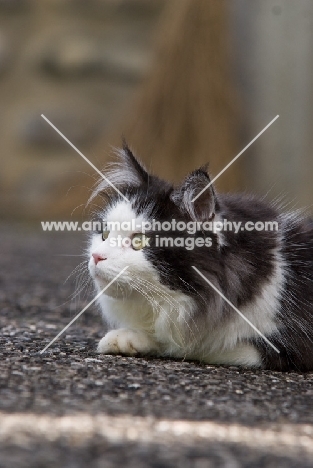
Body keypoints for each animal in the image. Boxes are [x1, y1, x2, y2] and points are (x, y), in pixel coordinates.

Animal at [86, 144, 312, 372]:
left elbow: (199, 347)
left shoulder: (289, 347)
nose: (97, 256)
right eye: (104, 234)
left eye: (139, 241)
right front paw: (125, 338)